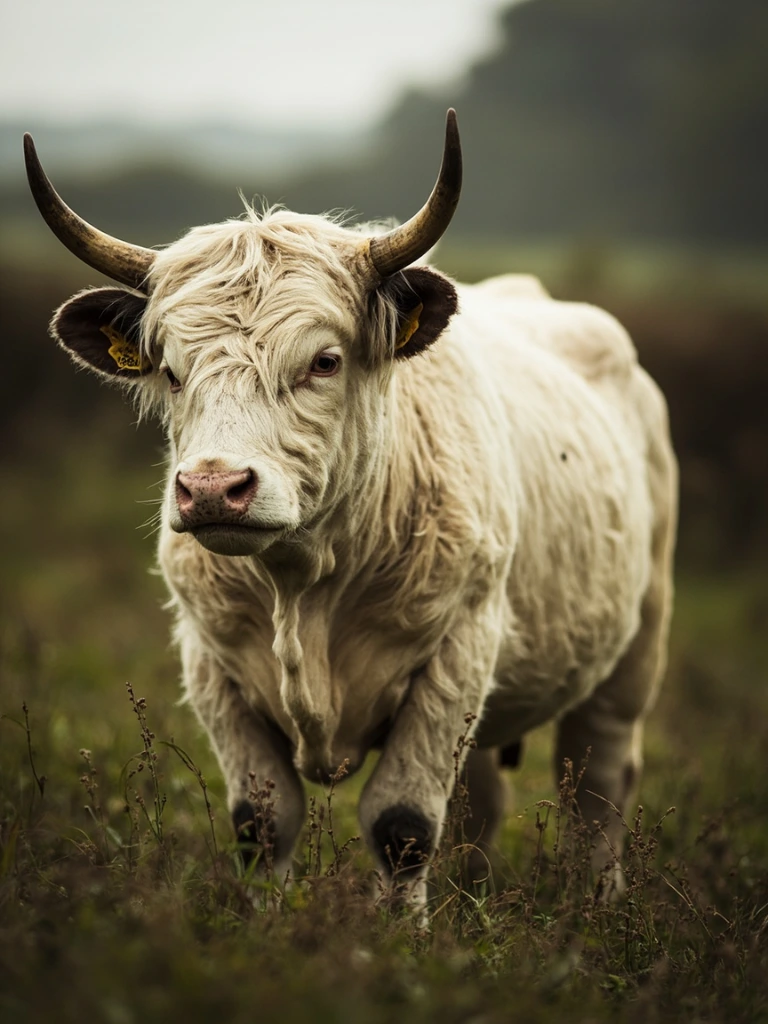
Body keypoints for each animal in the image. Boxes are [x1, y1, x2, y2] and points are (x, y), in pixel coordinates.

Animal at [24, 110, 676, 907]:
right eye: (172, 372)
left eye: (324, 361)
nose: (212, 487)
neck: (303, 589)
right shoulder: (212, 664)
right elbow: (262, 822)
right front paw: (266, 926)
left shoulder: (457, 652)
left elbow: (403, 825)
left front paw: (403, 936)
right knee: (481, 803)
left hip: (634, 647)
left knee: (599, 781)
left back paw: (599, 905)